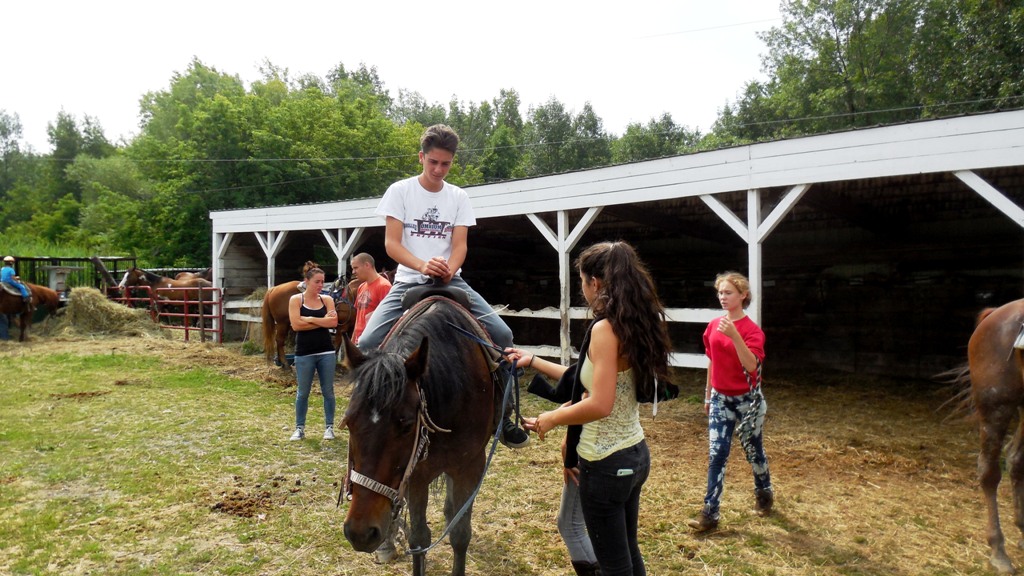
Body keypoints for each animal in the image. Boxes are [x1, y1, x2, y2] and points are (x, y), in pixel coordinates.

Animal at [340, 296, 500, 576]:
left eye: (407, 424)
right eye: (349, 422)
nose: (360, 533)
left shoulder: (470, 465)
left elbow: (460, 533)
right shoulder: (415, 474)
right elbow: (419, 539)